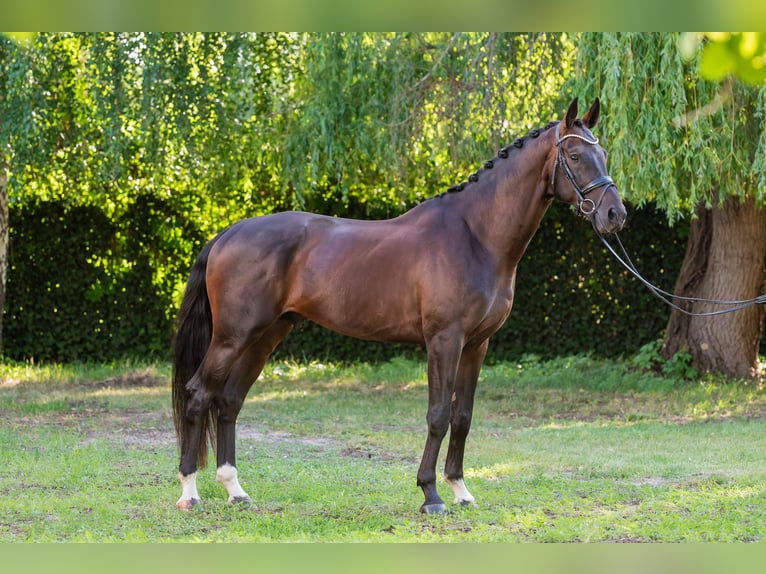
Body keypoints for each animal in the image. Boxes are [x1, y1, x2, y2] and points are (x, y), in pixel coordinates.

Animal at [172, 97, 626, 514]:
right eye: (574, 156)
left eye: (603, 154)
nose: (614, 215)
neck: (474, 236)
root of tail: (228, 233)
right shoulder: (444, 340)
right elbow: (438, 414)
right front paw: (431, 494)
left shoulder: (477, 345)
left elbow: (463, 417)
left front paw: (461, 490)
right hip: (233, 336)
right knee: (198, 394)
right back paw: (190, 492)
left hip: (266, 336)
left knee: (229, 400)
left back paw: (235, 490)